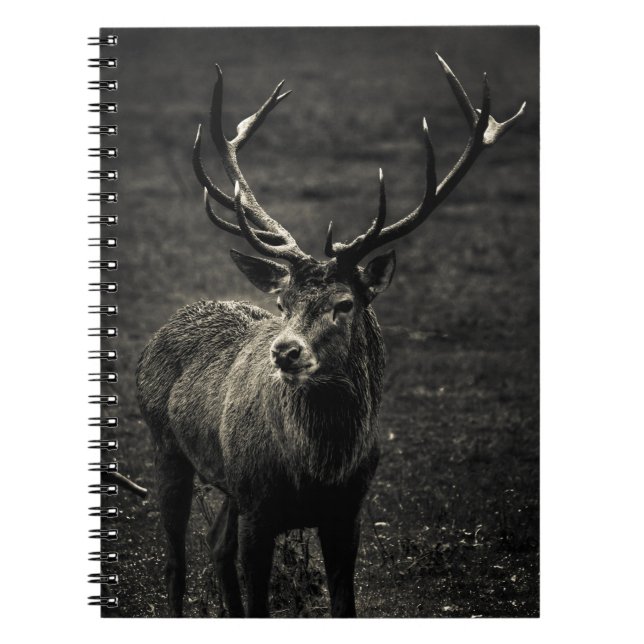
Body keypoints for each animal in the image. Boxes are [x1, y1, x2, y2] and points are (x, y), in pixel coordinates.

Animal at [136, 54, 525, 618]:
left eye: (345, 304)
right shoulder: (259, 507)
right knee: (175, 561)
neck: (317, 471)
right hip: (165, 445)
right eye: (282, 304)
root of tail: (158, 334)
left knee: (214, 543)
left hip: (227, 483)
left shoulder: (348, 510)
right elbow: (259, 602)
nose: (284, 351)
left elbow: (345, 603)